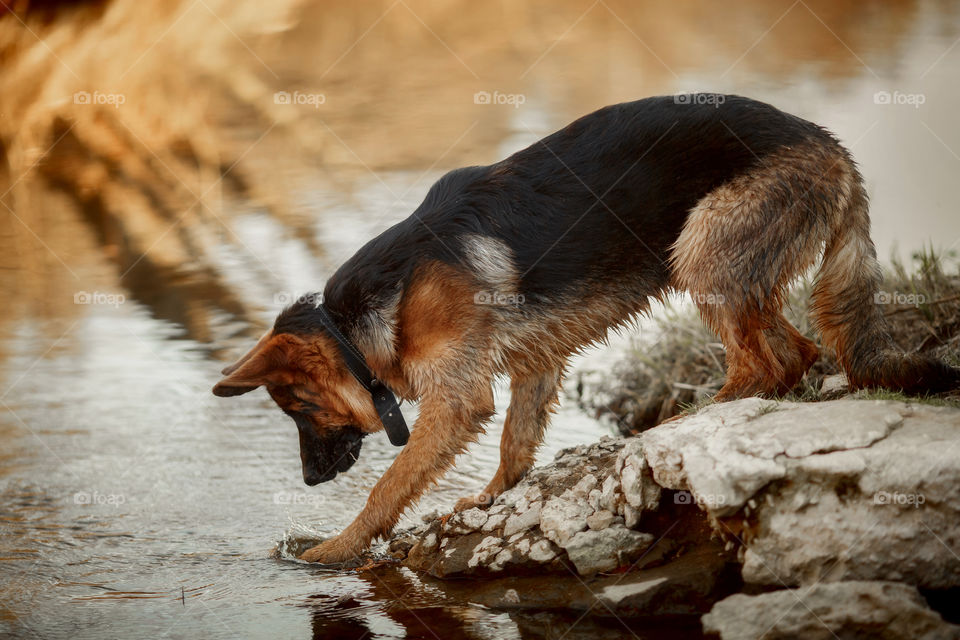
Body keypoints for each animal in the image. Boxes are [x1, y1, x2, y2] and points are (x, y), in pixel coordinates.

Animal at [212, 94, 960, 560]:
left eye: (298, 408)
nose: (310, 482)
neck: (358, 322)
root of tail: (830, 145)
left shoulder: (455, 400)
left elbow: (388, 486)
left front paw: (331, 551)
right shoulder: (533, 364)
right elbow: (515, 444)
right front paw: (488, 501)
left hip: (701, 249)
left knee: (768, 361)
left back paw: (677, 423)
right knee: (795, 353)